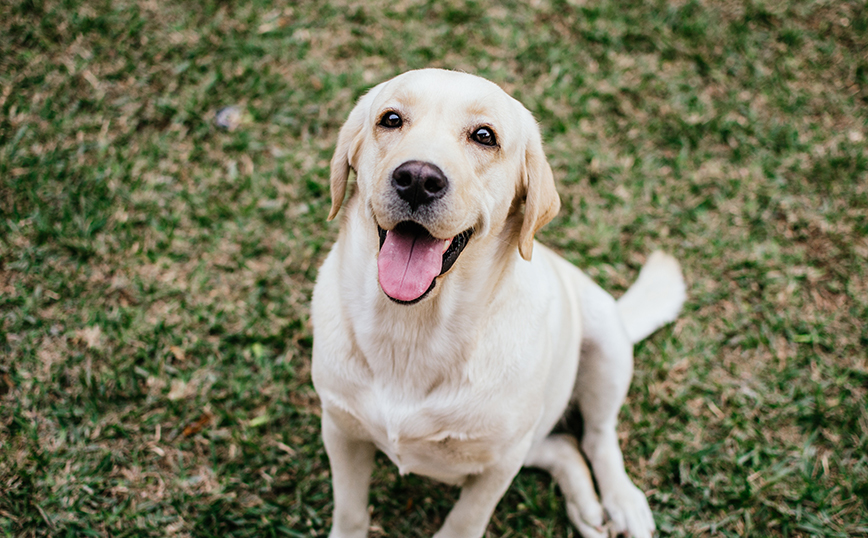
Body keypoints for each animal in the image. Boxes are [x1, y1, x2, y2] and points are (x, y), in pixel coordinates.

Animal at [310, 68, 684, 536]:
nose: (417, 178)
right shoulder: (341, 430)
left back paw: (621, 501)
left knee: (598, 435)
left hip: (605, 344)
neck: (412, 328)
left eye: (484, 136)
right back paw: (586, 507)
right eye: (390, 119)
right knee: (563, 447)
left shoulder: (499, 464)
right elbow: (350, 512)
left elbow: (465, 522)